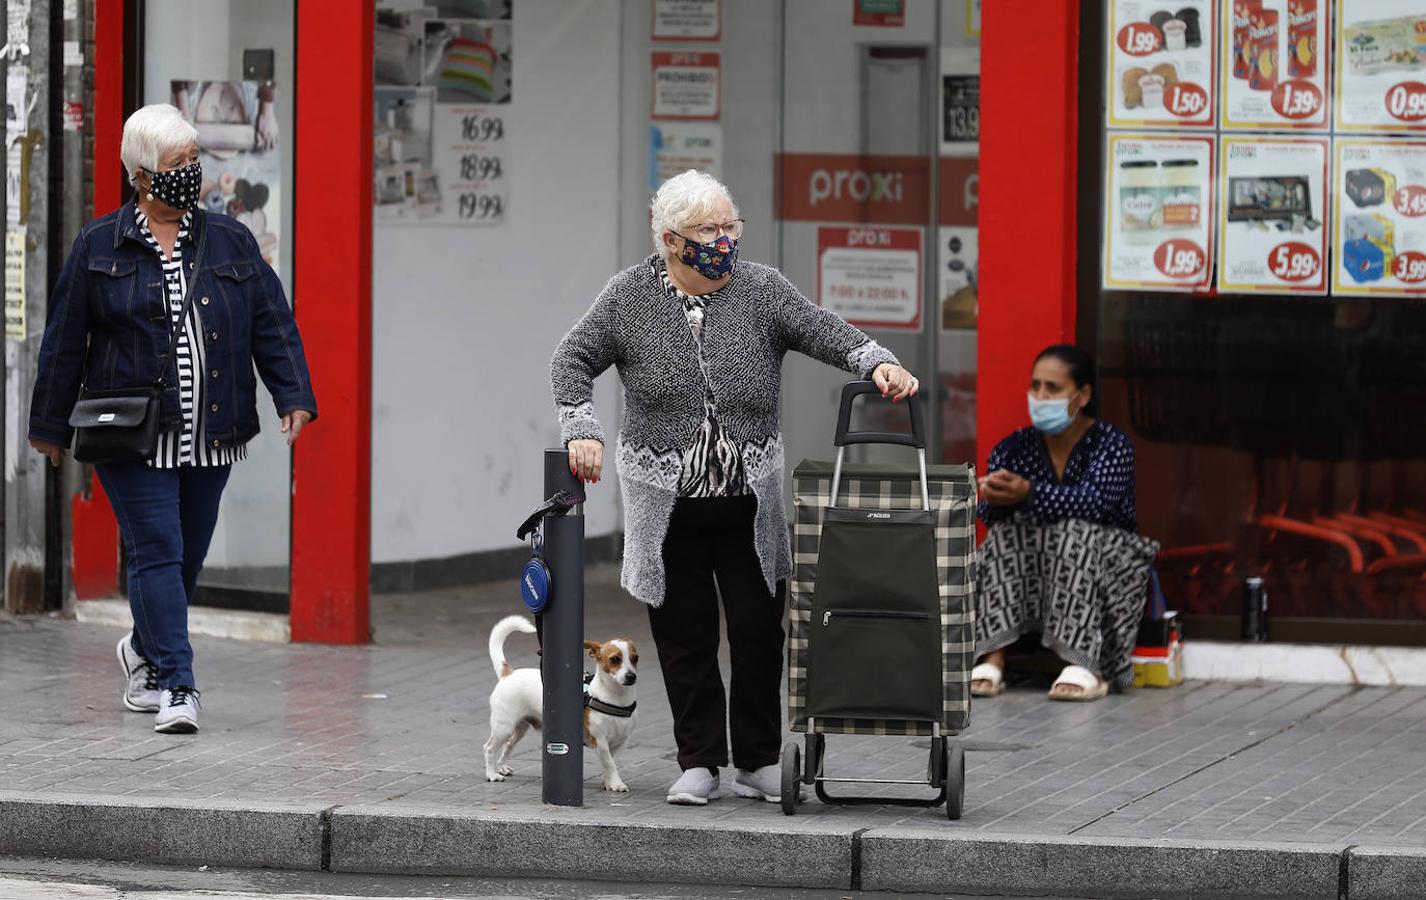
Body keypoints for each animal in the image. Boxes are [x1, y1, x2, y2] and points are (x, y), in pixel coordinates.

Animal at [481, 616, 638, 793]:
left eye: (635, 658)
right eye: (614, 659)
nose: (631, 676)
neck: (616, 698)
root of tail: (508, 673)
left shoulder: (620, 742)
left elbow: (610, 764)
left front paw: (609, 783)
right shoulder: (600, 740)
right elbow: (610, 764)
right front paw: (617, 783)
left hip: (518, 729)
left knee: (508, 745)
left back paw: (501, 767)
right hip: (504, 727)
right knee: (489, 748)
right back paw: (492, 774)